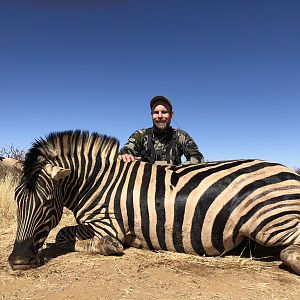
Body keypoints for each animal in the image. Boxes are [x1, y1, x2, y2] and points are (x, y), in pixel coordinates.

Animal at [6, 130, 300, 276]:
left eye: (47, 202)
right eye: (17, 199)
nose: (18, 261)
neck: (97, 181)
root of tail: (292, 172)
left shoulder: (108, 223)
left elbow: (63, 234)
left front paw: (110, 246)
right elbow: (63, 233)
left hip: (272, 221)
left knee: (289, 248)